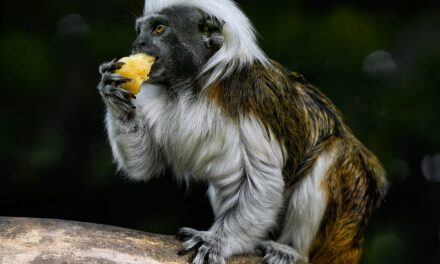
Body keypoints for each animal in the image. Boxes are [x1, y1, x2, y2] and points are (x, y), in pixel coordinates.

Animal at [98, 0, 386, 264]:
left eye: (159, 29)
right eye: (139, 31)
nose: (139, 45)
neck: (191, 86)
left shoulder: (250, 96)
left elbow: (264, 179)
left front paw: (217, 241)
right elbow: (147, 164)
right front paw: (112, 91)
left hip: (345, 218)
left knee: (334, 154)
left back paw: (292, 250)